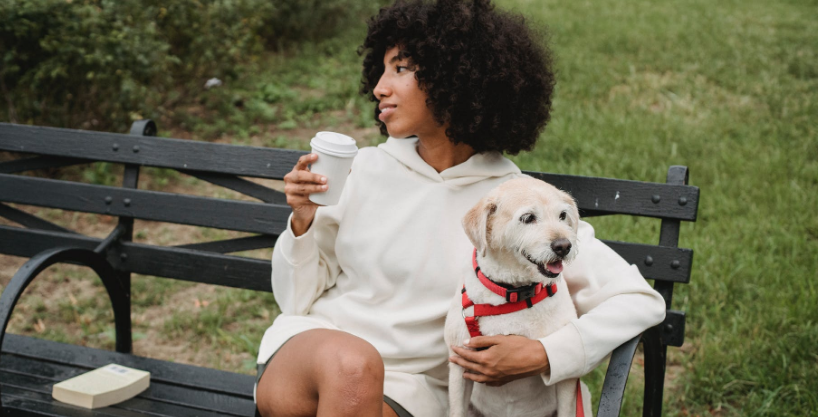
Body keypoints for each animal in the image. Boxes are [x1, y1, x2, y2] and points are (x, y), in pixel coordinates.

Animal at [446, 176, 588, 416]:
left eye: (562, 215)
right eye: (528, 217)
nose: (564, 246)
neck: (513, 294)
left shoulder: (567, 381)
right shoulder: (459, 364)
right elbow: (457, 410)